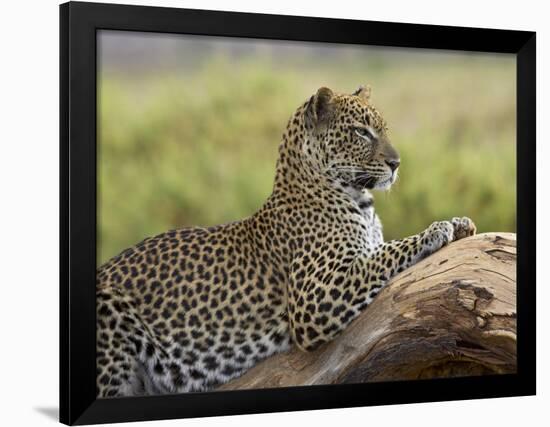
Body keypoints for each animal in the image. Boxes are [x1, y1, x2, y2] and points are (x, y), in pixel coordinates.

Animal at [97, 85, 476, 400]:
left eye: (384, 129)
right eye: (361, 132)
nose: (396, 163)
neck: (359, 200)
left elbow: (382, 248)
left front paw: (461, 223)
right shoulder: (315, 295)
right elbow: (385, 254)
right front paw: (436, 229)